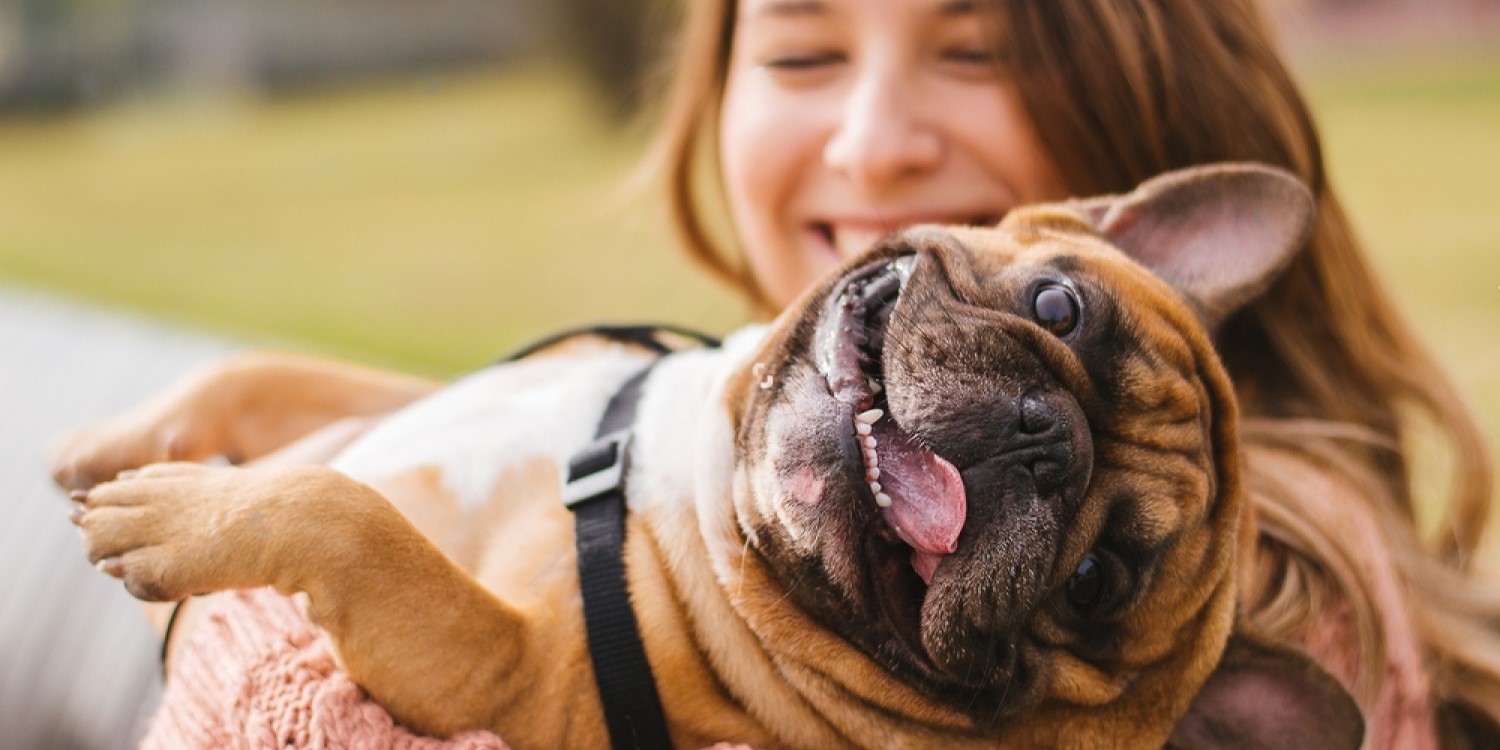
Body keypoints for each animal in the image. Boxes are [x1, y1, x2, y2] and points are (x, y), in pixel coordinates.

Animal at [52, 164, 1368, 750]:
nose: (1045, 440)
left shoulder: (502, 678)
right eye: (1059, 307)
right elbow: (266, 376)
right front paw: (108, 446)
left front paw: (175, 515)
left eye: (1095, 584)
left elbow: (351, 517)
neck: (686, 479)